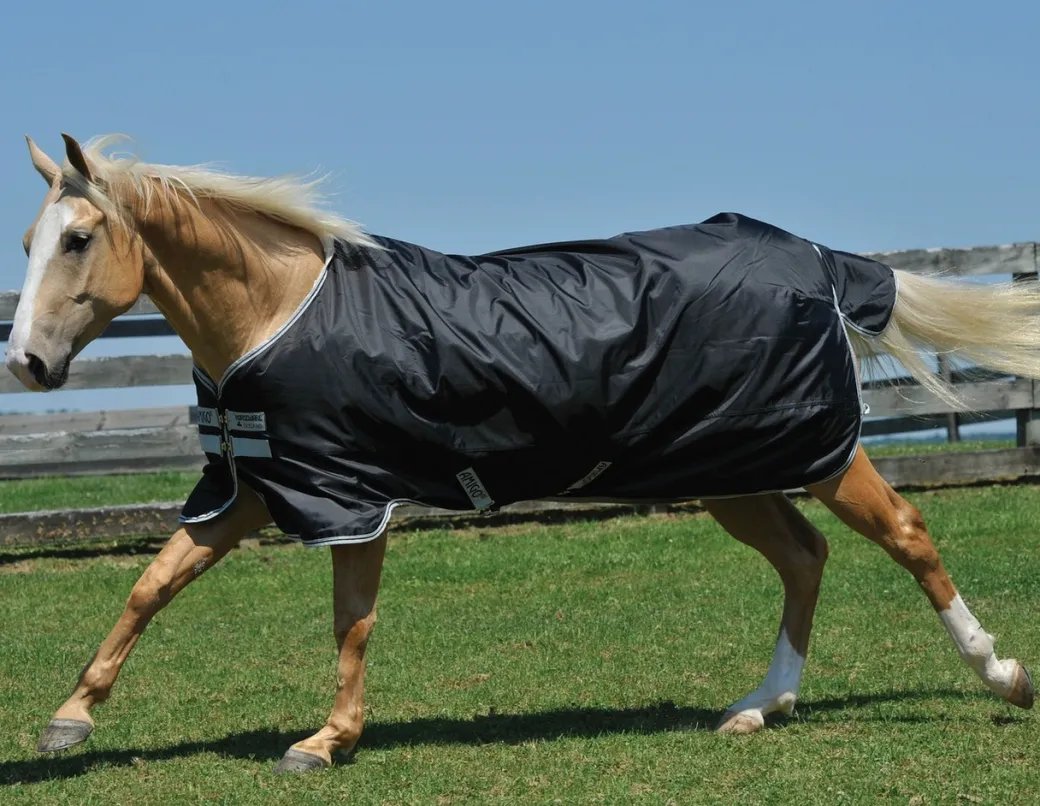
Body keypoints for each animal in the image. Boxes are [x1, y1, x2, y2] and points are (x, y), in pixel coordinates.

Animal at [9, 133, 1037, 775]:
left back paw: (1002, 676)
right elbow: (152, 585)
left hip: (817, 451)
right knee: (803, 555)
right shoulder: (257, 489)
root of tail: (817, 258)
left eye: (79, 237)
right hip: (730, 469)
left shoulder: (352, 498)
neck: (279, 314)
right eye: (28, 240)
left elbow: (351, 621)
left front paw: (325, 742)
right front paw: (70, 719)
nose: (26, 361)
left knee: (904, 532)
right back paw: (761, 704)